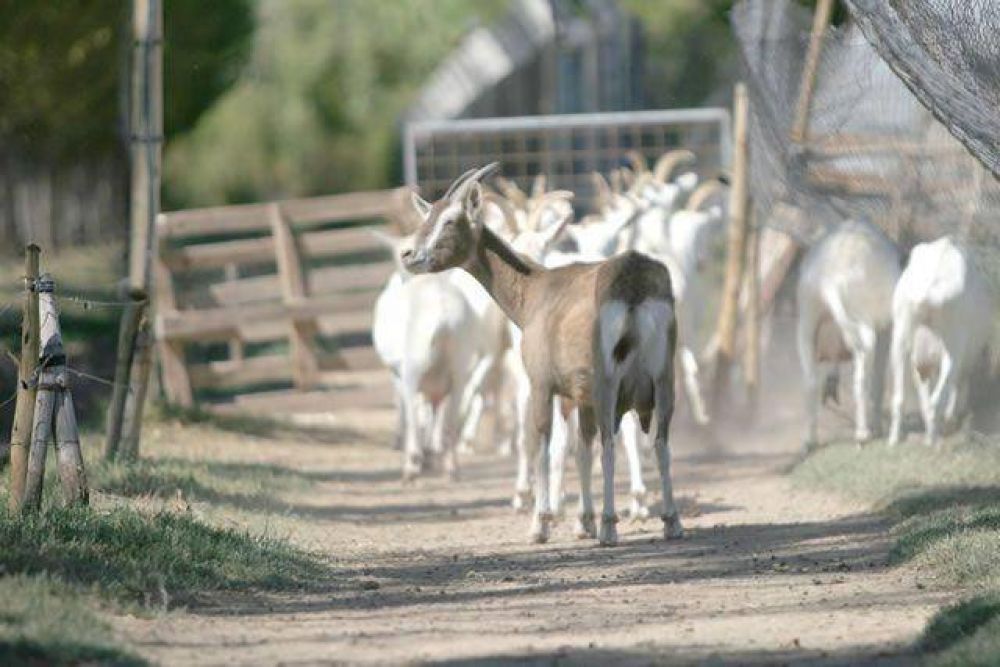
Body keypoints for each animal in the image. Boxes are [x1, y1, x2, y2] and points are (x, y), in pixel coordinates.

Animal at [892, 237, 992, 446]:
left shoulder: (921, 365)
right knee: (938, 399)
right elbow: (953, 389)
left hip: (900, 338)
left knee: (901, 398)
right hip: (952, 348)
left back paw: (895, 439)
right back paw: (933, 438)